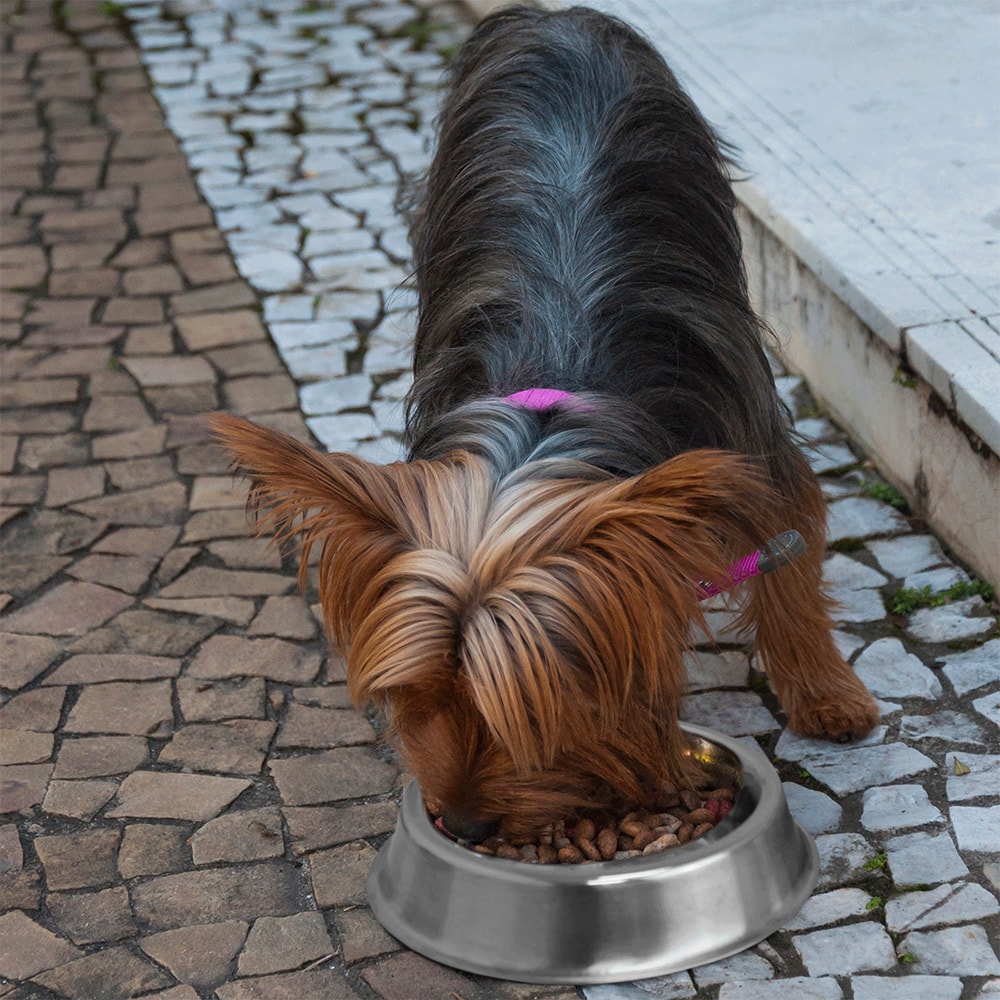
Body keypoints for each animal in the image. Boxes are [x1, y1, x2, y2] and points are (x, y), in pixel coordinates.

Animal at [214, 5, 879, 841]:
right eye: (417, 699)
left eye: (531, 711)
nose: (465, 825)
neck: (553, 413)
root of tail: (557, 16)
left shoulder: (749, 437)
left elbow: (789, 553)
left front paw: (827, 693)